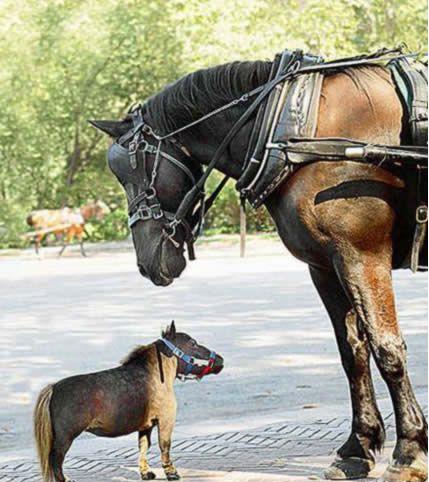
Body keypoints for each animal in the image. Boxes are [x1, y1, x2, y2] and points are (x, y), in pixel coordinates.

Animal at [33, 322, 224, 480]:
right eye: (192, 343)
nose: (220, 359)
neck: (155, 375)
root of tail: (53, 389)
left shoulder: (146, 425)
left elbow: (144, 447)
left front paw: (146, 472)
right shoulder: (166, 420)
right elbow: (165, 446)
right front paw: (171, 472)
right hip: (64, 438)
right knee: (55, 462)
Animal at [92, 57, 426, 482]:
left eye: (132, 173)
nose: (146, 261)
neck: (298, 131)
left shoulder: (362, 257)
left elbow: (387, 350)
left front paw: (409, 450)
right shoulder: (326, 265)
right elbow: (353, 354)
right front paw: (358, 446)